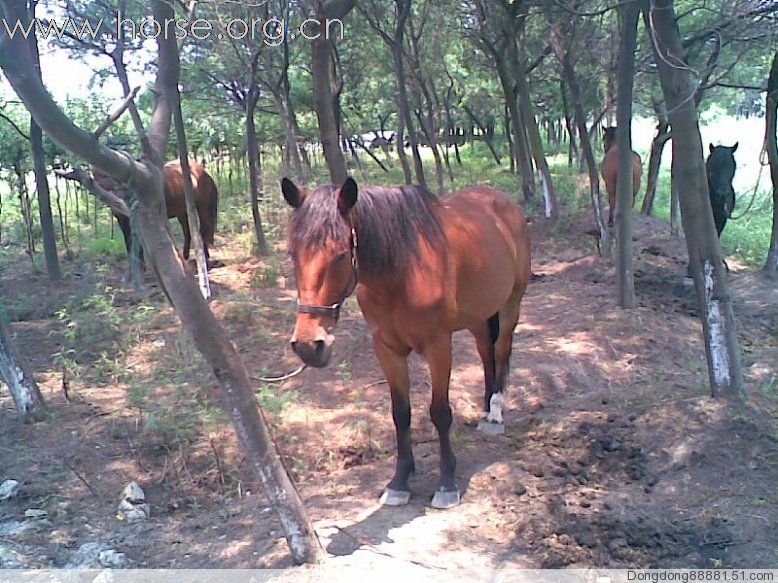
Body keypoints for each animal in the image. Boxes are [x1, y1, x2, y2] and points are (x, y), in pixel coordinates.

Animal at [282, 178, 532, 512]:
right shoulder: (387, 350)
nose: (310, 345)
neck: (402, 273)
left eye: (340, 254)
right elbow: (400, 413)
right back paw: (486, 405)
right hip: (478, 315)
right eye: (292, 253)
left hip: (510, 304)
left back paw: (495, 414)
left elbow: (439, 411)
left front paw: (447, 483)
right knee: (485, 353)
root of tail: (506, 204)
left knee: (502, 350)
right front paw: (399, 482)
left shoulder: (438, 345)